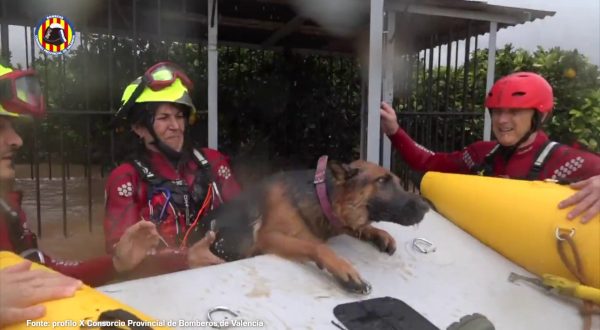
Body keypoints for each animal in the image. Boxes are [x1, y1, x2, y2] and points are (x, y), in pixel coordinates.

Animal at [190, 159, 428, 292]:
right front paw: (345, 270)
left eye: (398, 182)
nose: (425, 206)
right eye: (381, 181)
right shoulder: (269, 237)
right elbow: (316, 246)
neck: (321, 196)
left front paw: (379, 233)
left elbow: (355, 227)